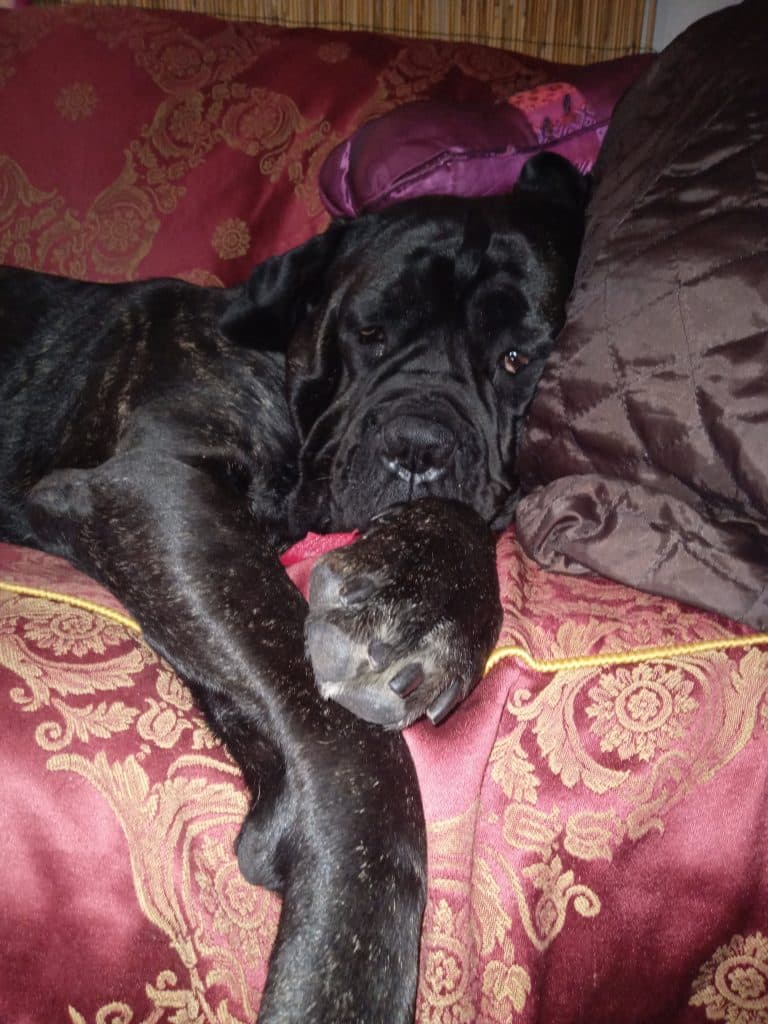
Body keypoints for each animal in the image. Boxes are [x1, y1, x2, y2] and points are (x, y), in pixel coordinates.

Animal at [0, 151, 587, 1023]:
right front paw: (345, 958)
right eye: (368, 334)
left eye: (519, 359)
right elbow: (347, 742)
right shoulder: (155, 487)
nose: (417, 444)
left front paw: (418, 597)